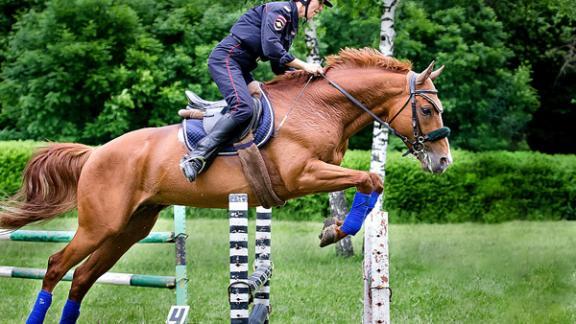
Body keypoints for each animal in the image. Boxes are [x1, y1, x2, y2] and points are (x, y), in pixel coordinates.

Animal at [0, 47, 450, 322]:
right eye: (428, 109)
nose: (444, 161)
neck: (320, 108)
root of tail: (95, 154)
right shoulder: (302, 174)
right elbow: (370, 178)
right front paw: (337, 232)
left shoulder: (311, 176)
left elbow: (369, 181)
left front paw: (334, 229)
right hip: (100, 225)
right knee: (57, 266)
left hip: (129, 229)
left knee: (82, 277)